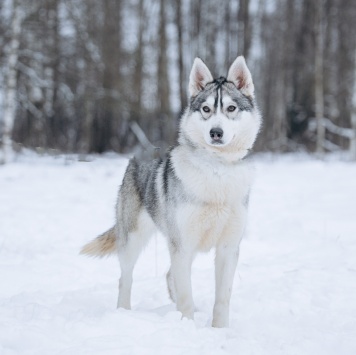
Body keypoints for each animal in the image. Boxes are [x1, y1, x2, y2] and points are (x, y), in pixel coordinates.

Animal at [80, 56, 262, 328]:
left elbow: (222, 299)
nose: (215, 132)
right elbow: (185, 295)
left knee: (168, 275)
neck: (216, 171)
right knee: (126, 278)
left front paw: (219, 330)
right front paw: (186, 327)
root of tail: (142, 149)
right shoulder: (182, 245)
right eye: (206, 109)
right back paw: (123, 312)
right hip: (134, 239)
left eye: (231, 108)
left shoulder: (228, 248)